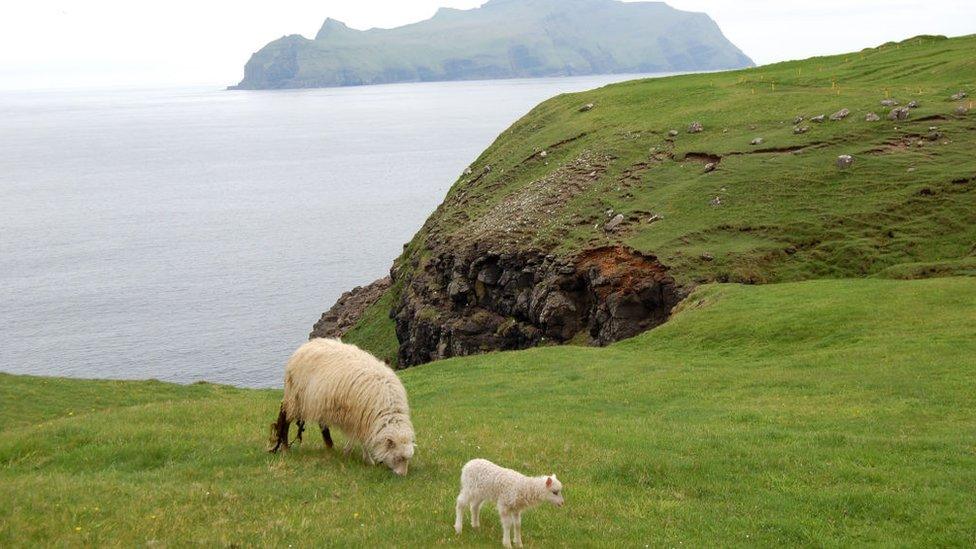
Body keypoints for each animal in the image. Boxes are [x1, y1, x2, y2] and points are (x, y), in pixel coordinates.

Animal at [266, 336, 416, 474]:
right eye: (399, 457)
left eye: (407, 459)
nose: (402, 475)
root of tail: (305, 346)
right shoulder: (358, 417)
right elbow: (359, 439)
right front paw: (363, 458)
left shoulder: (361, 419)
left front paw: (348, 452)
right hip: (296, 397)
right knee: (285, 419)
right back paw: (285, 447)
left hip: (319, 400)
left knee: (322, 424)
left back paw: (329, 446)